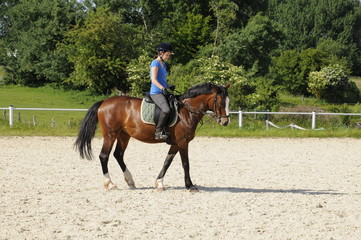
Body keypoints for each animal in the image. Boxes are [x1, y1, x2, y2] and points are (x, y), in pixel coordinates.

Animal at [74, 82, 229, 191]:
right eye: (221, 102)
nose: (225, 122)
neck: (186, 111)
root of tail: (104, 102)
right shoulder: (183, 142)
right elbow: (186, 163)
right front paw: (190, 186)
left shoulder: (175, 143)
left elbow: (167, 162)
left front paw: (159, 183)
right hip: (110, 135)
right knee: (104, 156)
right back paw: (110, 184)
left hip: (124, 136)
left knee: (118, 154)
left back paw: (130, 181)